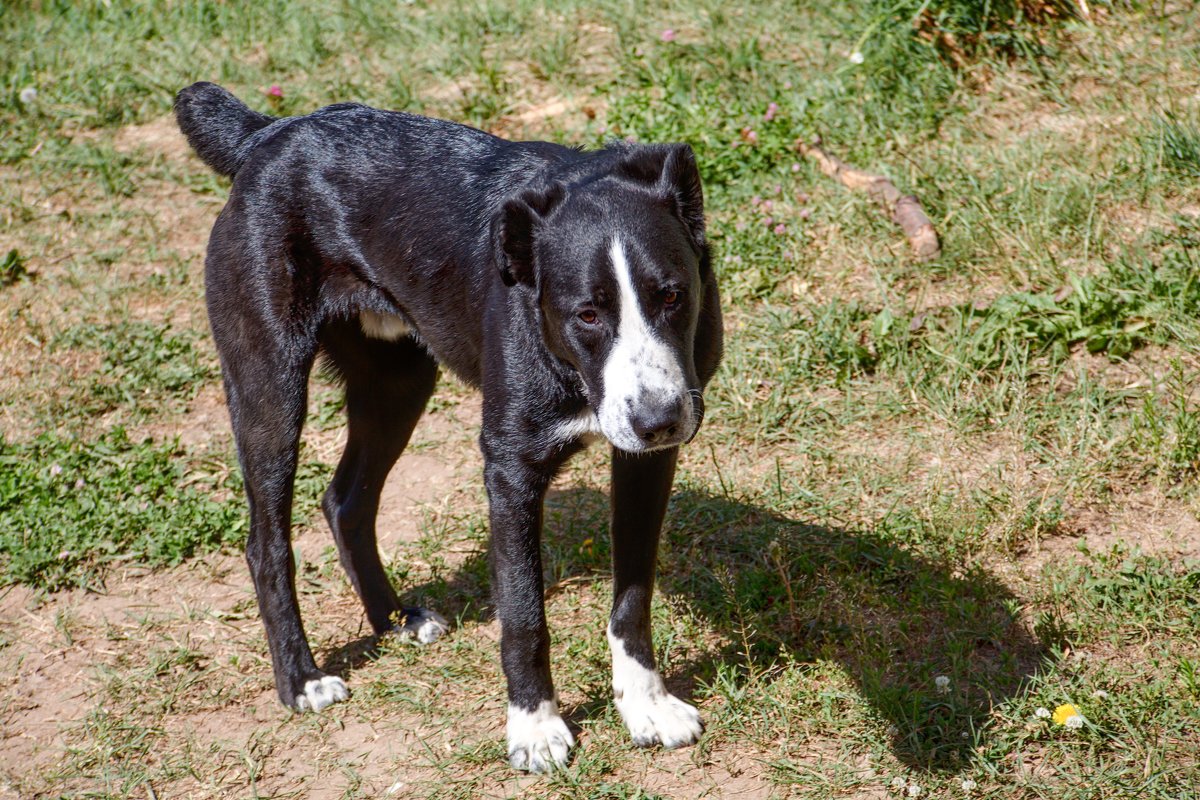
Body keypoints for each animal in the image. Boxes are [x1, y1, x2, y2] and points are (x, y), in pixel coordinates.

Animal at [175, 84, 720, 772]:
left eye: (672, 295)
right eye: (588, 314)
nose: (659, 420)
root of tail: (267, 134)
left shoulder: (647, 460)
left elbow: (633, 597)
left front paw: (647, 706)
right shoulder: (511, 467)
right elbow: (523, 613)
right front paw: (535, 728)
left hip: (398, 383)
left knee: (346, 501)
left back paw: (394, 619)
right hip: (269, 385)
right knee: (265, 543)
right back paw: (300, 680)